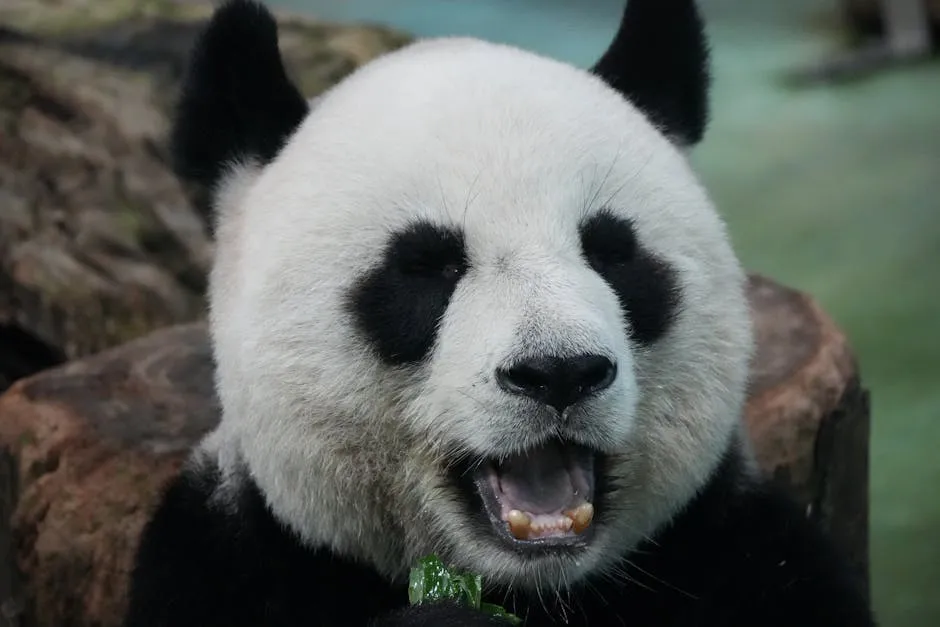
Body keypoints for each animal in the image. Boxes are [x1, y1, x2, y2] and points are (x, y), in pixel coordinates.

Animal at [122, 0, 876, 625]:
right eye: (428, 266)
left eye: (612, 251)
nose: (560, 372)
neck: (537, 588)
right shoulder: (231, 563)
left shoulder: (737, 553)